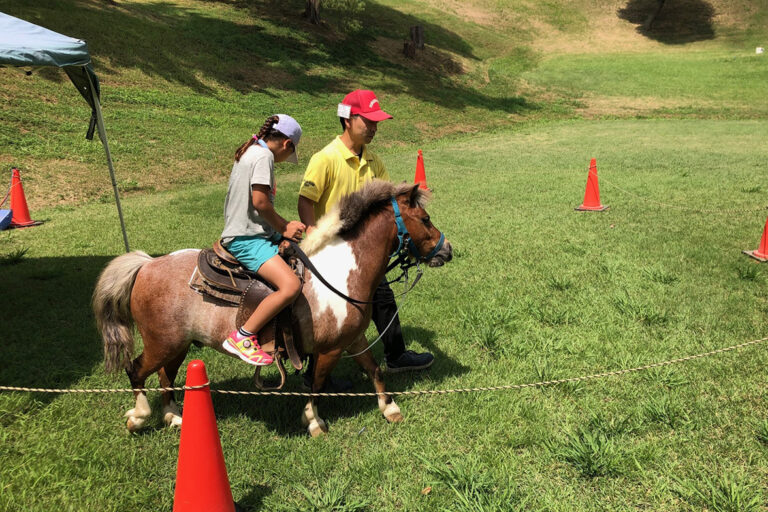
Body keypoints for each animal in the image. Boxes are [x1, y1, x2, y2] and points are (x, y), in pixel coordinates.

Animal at [91, 180, 450, 436]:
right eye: (425, 219)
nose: (447, 249)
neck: (339, 274)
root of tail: (147, 265)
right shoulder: (330, 350)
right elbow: (317, 384)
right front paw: (314, 422)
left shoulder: (352, 340)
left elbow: (375, 370)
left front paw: (389, 409)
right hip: (161, 342)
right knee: (136, 370)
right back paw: (139, 417)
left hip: (177, 344)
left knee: (166, 375)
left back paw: (174, 416)